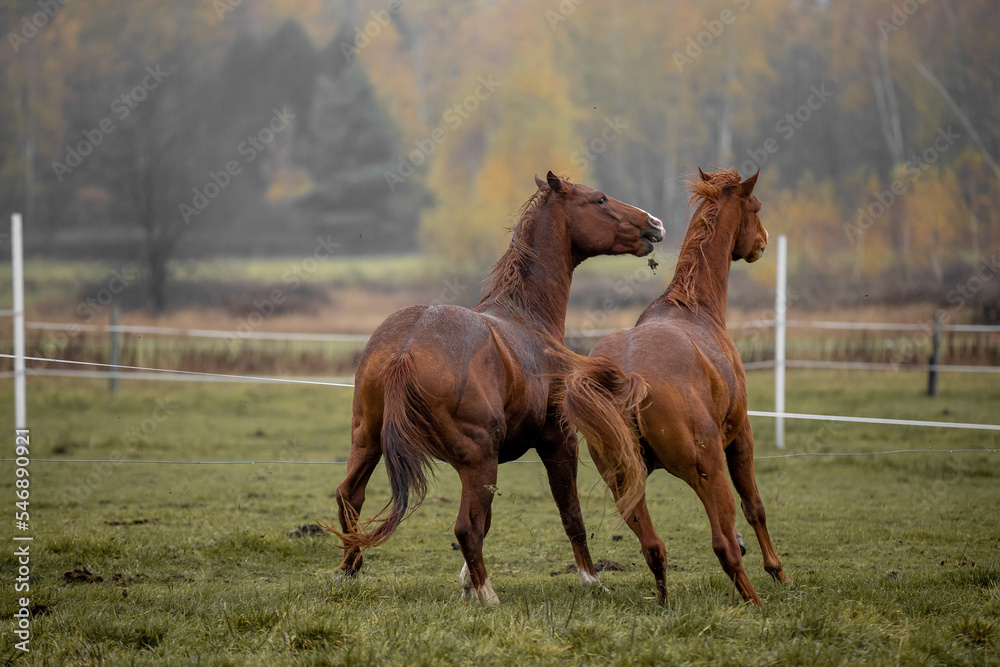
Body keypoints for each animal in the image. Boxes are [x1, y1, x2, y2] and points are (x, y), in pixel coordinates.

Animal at [331, 171, 664, 605]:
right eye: (600, 199)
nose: (654, 224)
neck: (527, 318)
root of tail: (406, 348)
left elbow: (489, 521)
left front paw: (465, 582)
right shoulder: (559, 442)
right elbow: (570, 514)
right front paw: (591, 579)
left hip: (370, 442)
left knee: (349, 497)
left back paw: (349, 569)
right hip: (478, 460)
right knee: (464, 527)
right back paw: (489, 595)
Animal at [557, 167, 792, 606]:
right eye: (755, 207)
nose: (763, 242)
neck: (694, 309)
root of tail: (627, 377)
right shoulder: (741, 436)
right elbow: (755, 506)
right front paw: (778, 572)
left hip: (624, 482)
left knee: (653, 547)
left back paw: (666, 602)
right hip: (706, 470)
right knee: (723, 544)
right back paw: (754, 599)